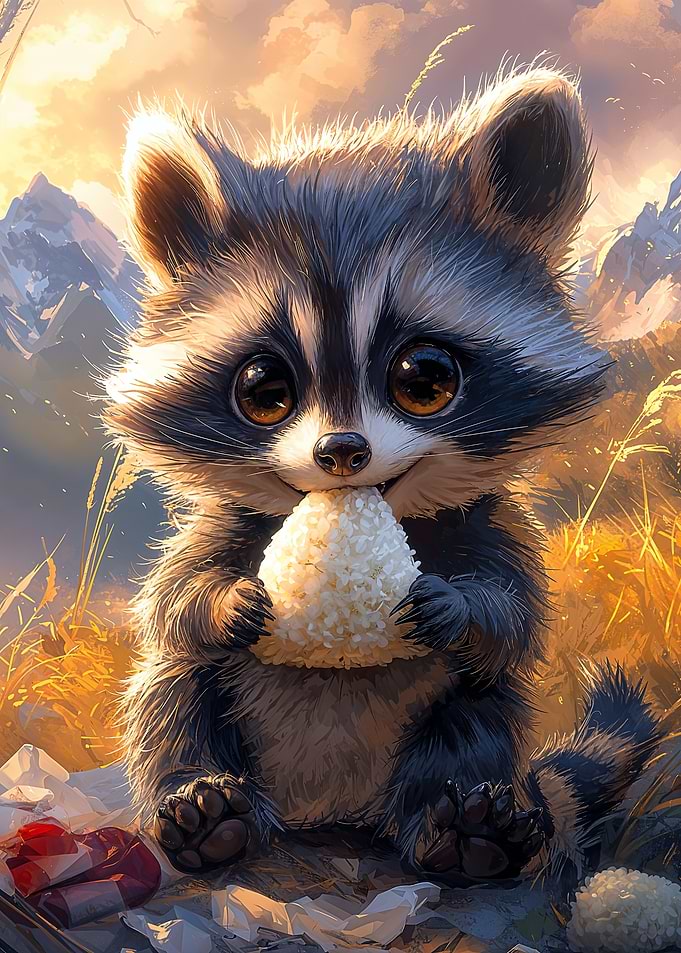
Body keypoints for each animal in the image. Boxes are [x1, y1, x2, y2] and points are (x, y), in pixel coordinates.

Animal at [104, 63, 662, 891]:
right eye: (264, 388)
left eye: (423, 379)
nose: (341, 450)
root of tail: (328, 809)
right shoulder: (227, 519)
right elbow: (172, 603)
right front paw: (224, 598)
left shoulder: (491, 520)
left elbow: (514, 619)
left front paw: (460, 605)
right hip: (213, 729)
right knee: (172, 693)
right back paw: (208, 810)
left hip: (454, 740)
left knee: (478, 717)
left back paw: (454, 830)